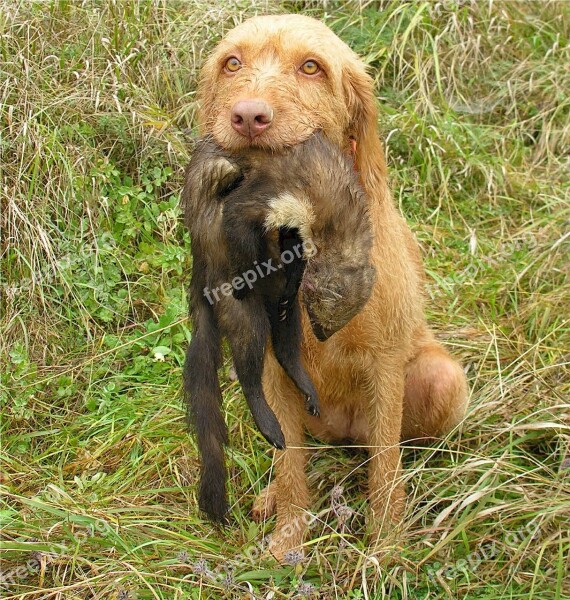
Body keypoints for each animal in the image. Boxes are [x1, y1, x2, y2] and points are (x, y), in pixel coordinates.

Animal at [195, 12, 466, 556]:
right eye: (232, 63)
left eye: (311, 67)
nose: (247, 116)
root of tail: (343, 433)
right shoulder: (275, 370)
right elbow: (291, 466)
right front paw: (288, 540)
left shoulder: (385, 364)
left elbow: (385, 469)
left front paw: (386, 544)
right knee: (294, 451)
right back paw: (273, 495)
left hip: (439, 378)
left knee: (393, 451)